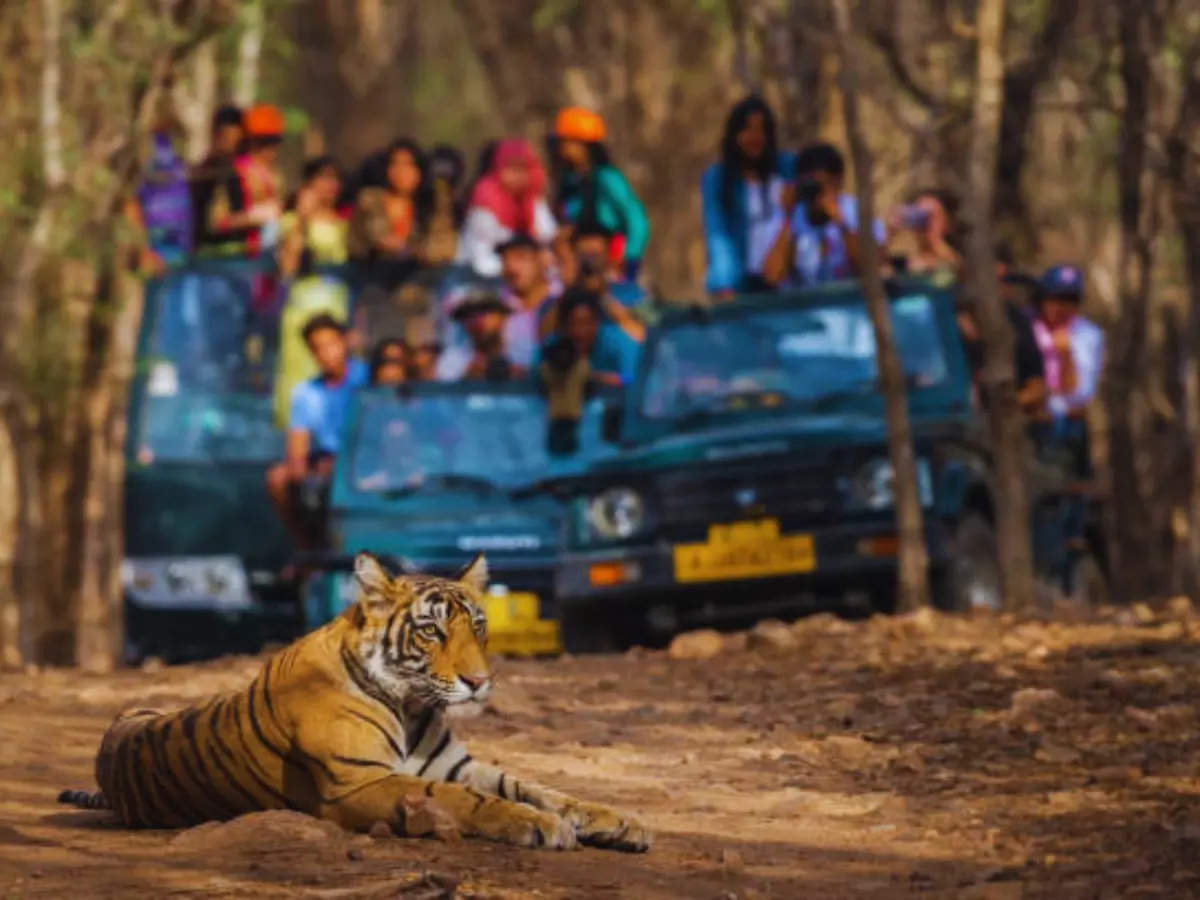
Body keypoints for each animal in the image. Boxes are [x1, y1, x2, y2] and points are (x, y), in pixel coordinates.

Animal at [59, 554, 652, 854]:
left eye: (478, 626)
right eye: (433, 630)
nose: (480, 682)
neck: (412, 704)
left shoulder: (457, 765)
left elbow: (538, 787)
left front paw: (618, 821)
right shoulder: (359, 781)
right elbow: (469, 801)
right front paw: (542, 826)